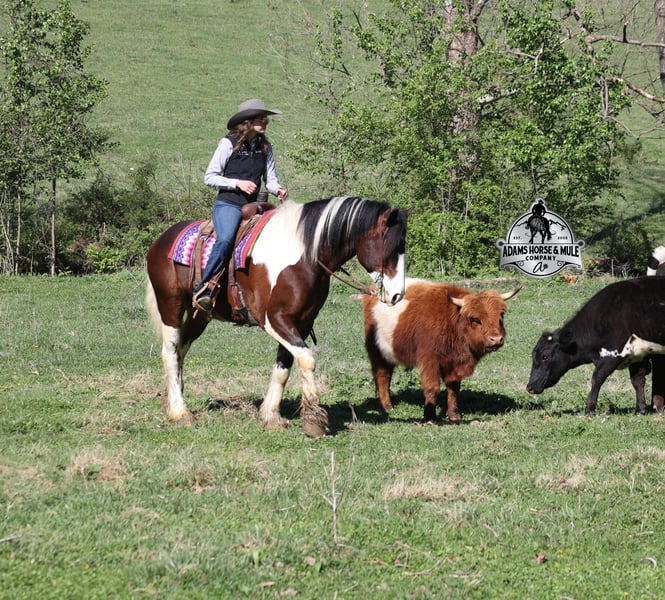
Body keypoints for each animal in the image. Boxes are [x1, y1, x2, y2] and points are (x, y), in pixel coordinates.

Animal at [145, 196, 409, 438]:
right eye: (391, 247)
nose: (397, 295)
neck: (305, 255)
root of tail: (160, 241)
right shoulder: (273, 320)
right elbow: (307, 359)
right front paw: (313, 420)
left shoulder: (302, 322)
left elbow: (284, 366)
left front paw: (271, 416)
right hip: (170, 305)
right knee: (170, 352)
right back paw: (180, 412)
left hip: (200, 314)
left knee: (181, 349)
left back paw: (175, 401)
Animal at [362, 279, 521, 422]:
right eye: (475, 319)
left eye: (501, 315)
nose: (496, 339)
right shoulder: (429, 360)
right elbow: (432, 387)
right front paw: (430, 417)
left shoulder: (455, 363)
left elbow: (453, 387)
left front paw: (454, 414)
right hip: (377, 351)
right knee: (382, 376)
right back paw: (387, 406)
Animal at [527, 275, 665, 415]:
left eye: (545, 357)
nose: (529, 387)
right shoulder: (637, 355)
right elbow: (637, 381)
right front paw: (640, 410)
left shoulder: (613, 354)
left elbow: (597, 378)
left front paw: (589, 410)